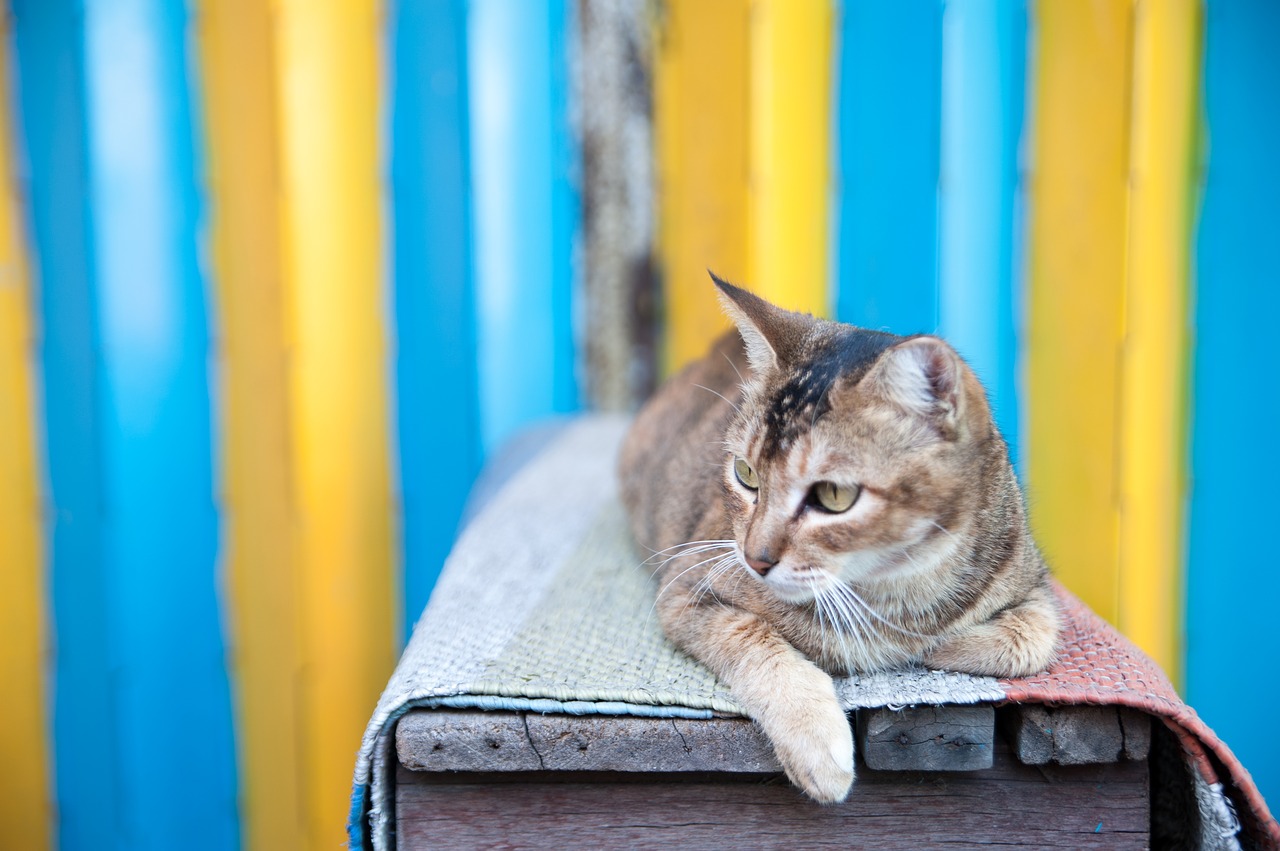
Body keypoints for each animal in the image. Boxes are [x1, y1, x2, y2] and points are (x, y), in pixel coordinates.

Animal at [619, 273, 1059, 803]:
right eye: (746, 474)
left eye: (833, 496)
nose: (754, 559)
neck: (895, 588)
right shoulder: (686, 589)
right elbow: (756, 642)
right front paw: (818, 743)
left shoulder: (1030, 580)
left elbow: (1029, 640)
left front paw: (931, 647)